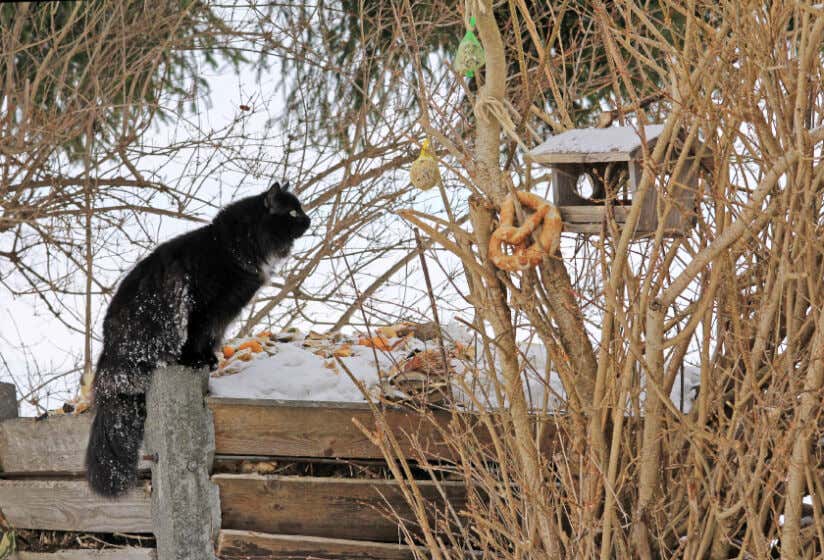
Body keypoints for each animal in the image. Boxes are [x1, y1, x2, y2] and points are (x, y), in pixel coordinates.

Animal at [84, 182, 308, 496]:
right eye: (292, 212)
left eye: (301, 209)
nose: (309, 220)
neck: (231, 246)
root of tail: (109, 351)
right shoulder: (204, 309)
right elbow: (196, 340)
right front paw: (195, 361)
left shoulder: (222, 315)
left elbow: (209, 339)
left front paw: (209, 361)